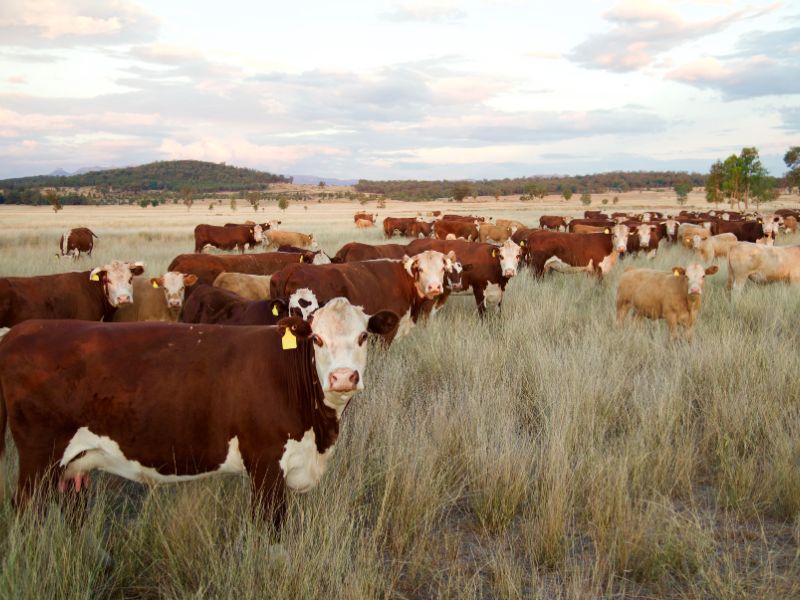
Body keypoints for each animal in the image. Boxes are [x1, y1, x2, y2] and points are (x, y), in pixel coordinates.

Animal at [0, 298, 400, 532]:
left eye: (363, 336)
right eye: (316, 339)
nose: (344, 377)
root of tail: (21, 330)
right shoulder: (266, 467)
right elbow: (270, 531)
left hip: (69, 465)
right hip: (38, 458)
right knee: (26, 510)